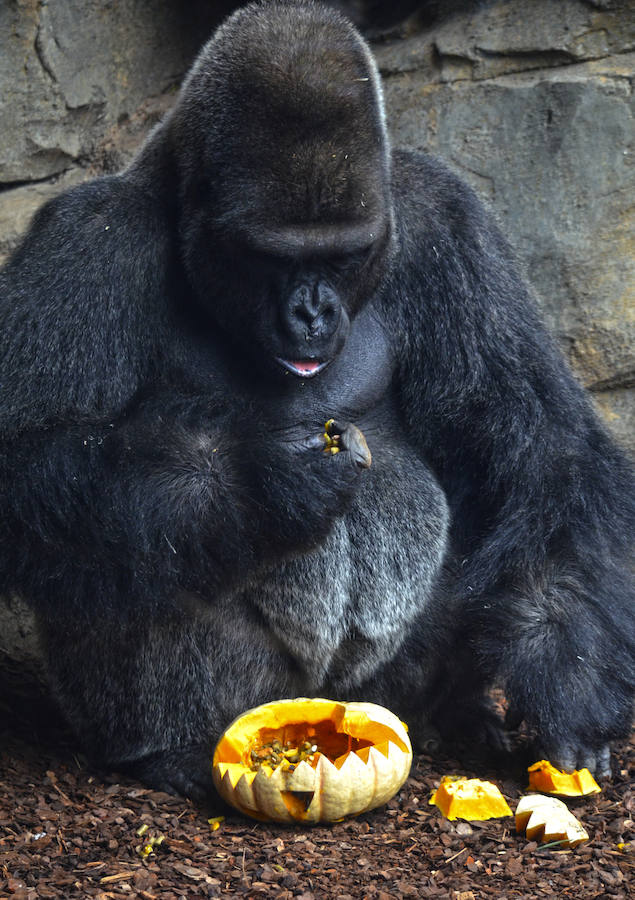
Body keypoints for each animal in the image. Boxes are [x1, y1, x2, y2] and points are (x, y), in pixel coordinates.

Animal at [0, 0, 632, 800]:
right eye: (272, 258)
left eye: (342, 255)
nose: (312, 313)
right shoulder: (89, 242)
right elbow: (29, 458)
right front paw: (259, 482)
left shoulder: (444, 218)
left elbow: (538, 446)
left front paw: (564, 680)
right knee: (129, 546)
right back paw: (172, 747)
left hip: (387, 697)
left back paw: (459, 713)